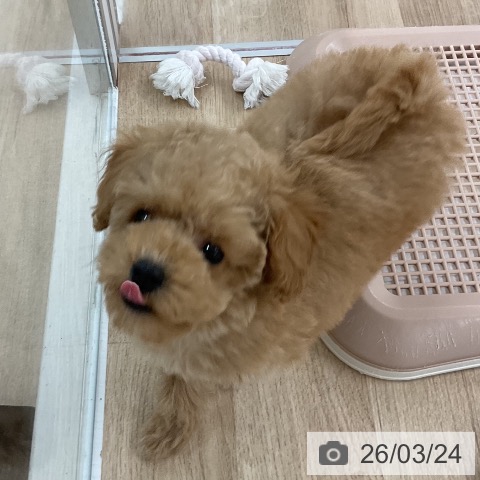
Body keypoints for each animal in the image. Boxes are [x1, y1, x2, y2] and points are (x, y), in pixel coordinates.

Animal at [93, 46, 465, 459]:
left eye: (212, 252)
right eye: (141, 215)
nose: (145, 271)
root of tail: (413, 69)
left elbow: (188, 381)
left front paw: (170, 428)